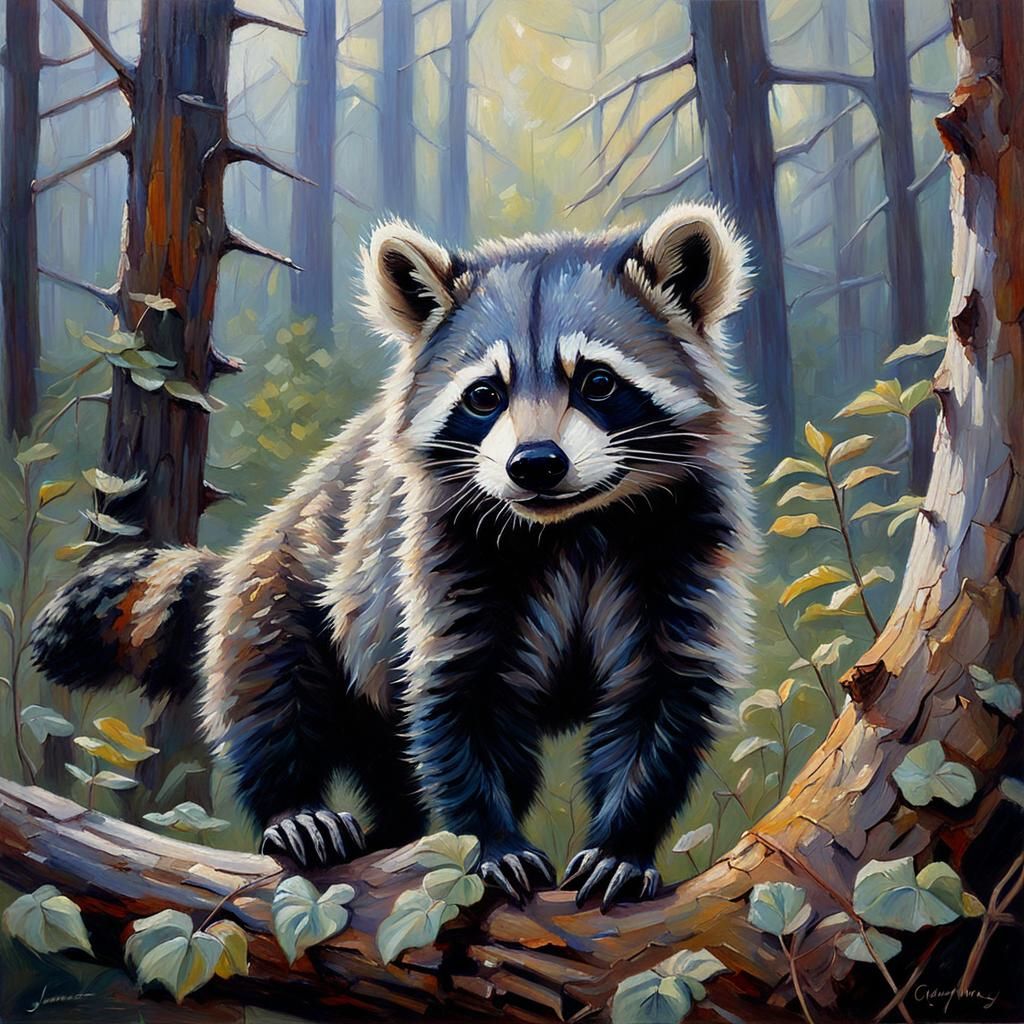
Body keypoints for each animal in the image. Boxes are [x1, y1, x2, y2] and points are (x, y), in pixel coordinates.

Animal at [32, 203, 758, 911]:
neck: (569, 525)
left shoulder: (683, 545)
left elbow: (660, 697)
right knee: (273, 691)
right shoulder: (442, 550)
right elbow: (459, 697)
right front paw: (490, 840)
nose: (535, 464)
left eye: (599, 383)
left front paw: (623, 842)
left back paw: (396, 829)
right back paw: (297, 807)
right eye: (485, 394)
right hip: (293, 582)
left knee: (386, 754)